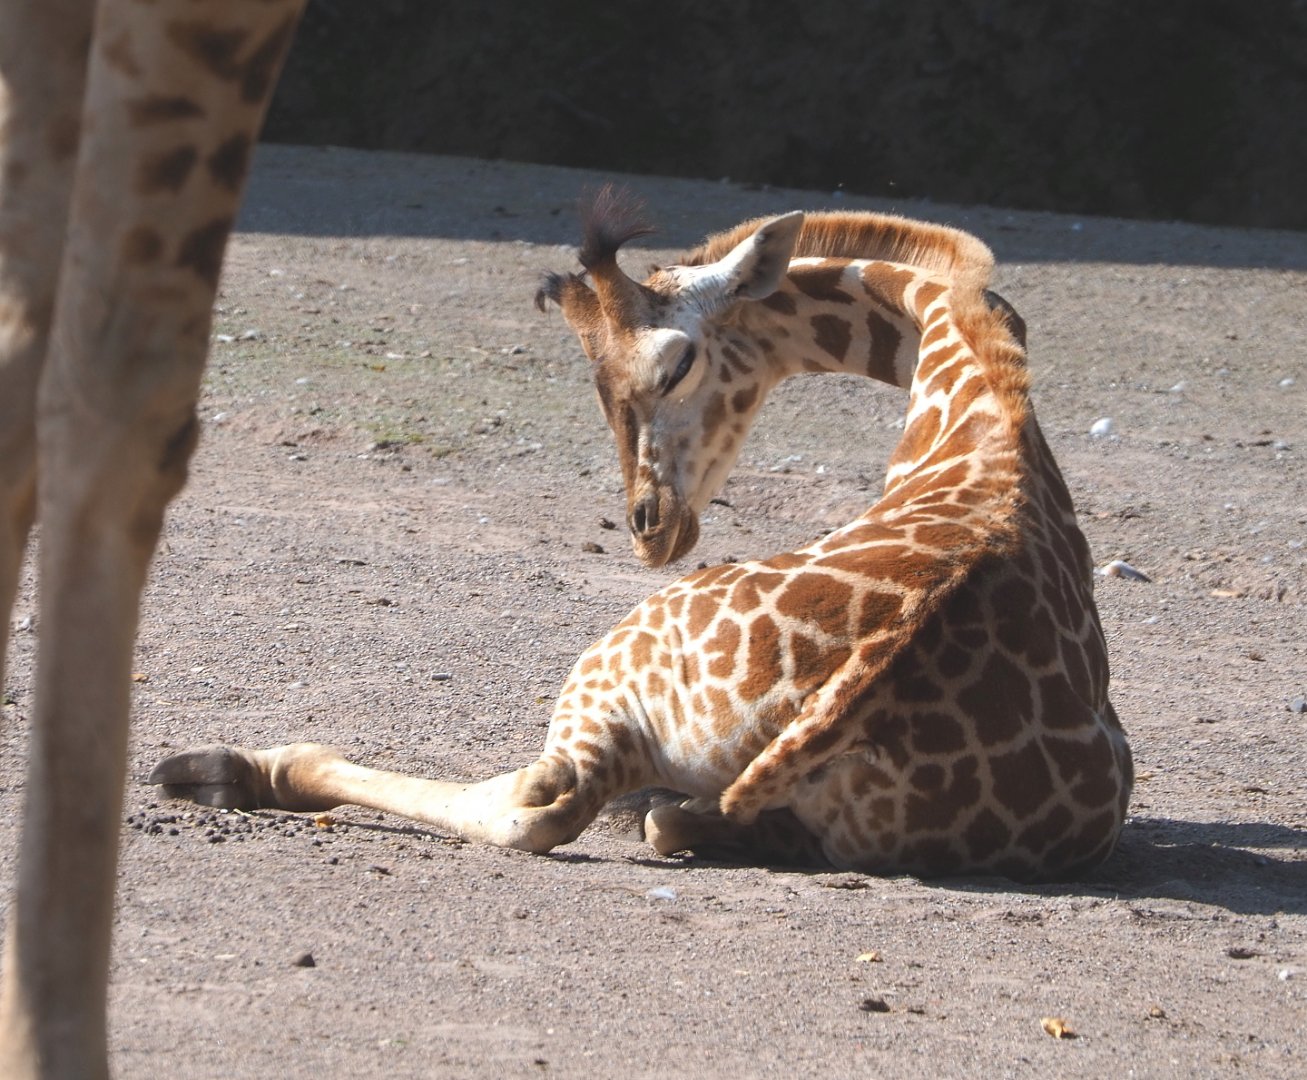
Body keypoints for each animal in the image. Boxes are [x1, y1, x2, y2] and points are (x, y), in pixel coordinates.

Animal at [152, 191, 1133, 888]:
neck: (972, 397)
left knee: (541, 803)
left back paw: (228, 765)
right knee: (656, 816)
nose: (648, 528)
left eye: (675, 363)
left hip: (606, 673)